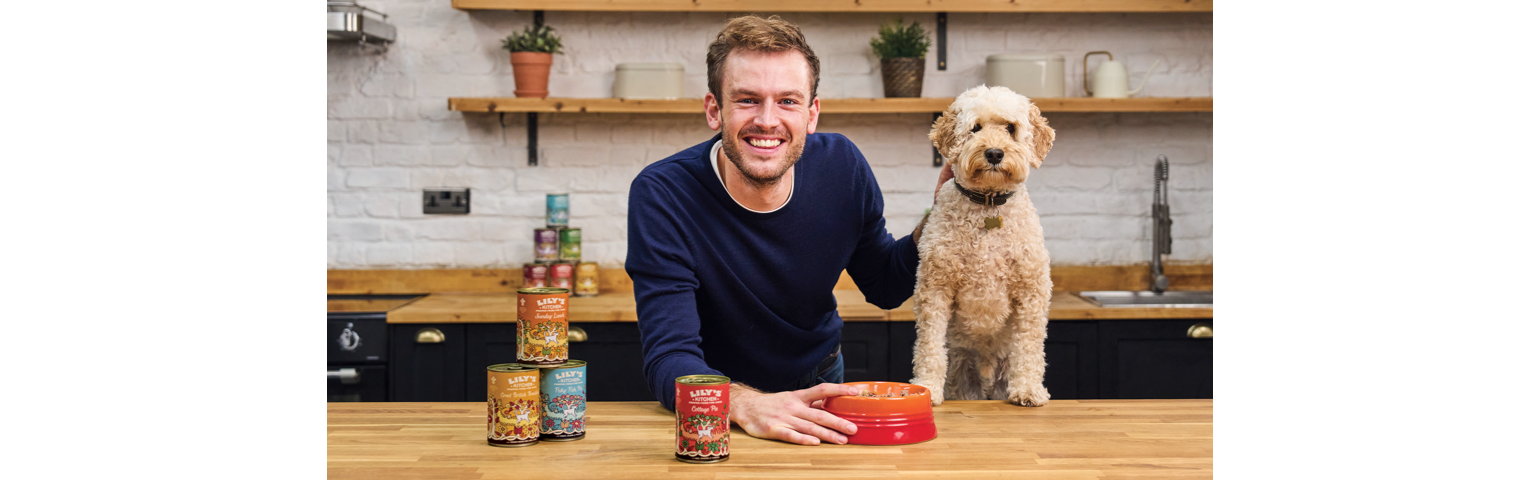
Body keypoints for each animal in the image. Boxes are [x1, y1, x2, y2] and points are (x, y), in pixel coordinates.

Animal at [905, 84, 1053, 406]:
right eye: (975, 128)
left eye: (1010, 128)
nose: (994, 153)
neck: (988, 205)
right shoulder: (935, 286)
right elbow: (929, 346)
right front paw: (928, 387)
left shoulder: (1031, 288)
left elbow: (1029, 345)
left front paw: (1027, 389)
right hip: (961, 373)